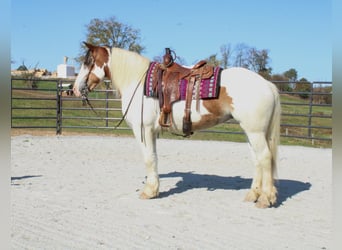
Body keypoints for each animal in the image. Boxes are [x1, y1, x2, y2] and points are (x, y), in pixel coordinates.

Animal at [72, 42, 280, 208]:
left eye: (88, 62)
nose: (75, 89)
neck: (138, 81)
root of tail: (267, 85)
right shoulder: (152, 131)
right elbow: (154, 158)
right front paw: (154, 188)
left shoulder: (143, 130)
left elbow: (149, 159)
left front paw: (149, 191)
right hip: (250, 132)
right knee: (256, 160)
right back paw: (253, 194)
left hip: (255, 132)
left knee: (265, 157)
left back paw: (265, 198)